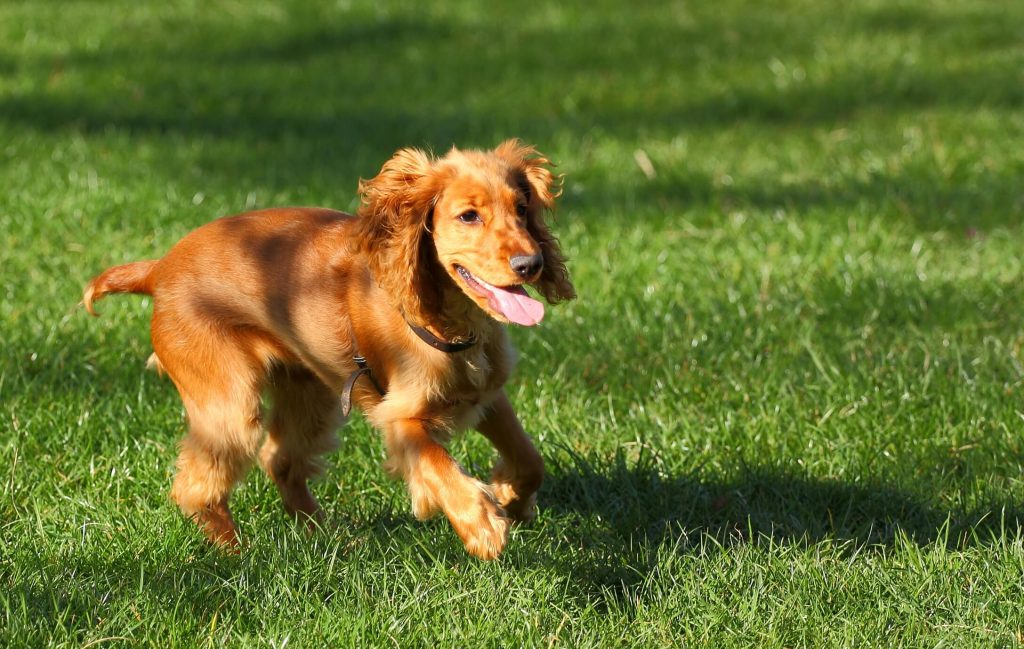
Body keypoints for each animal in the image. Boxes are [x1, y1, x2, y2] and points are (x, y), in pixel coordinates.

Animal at [81, 140, 577, 556]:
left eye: (522, 208)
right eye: (469, 216)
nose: (530, 264)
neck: (453, 325)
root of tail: (159, 268)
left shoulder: (486, 396)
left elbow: (530, 459)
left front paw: (512, 498)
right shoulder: (402, 417)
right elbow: (437, 464)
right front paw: (481, 524)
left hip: (309, 392)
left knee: (280, 461)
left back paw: (326, 536)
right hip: (229, 401)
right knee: (196, 486)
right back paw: (236, 553)